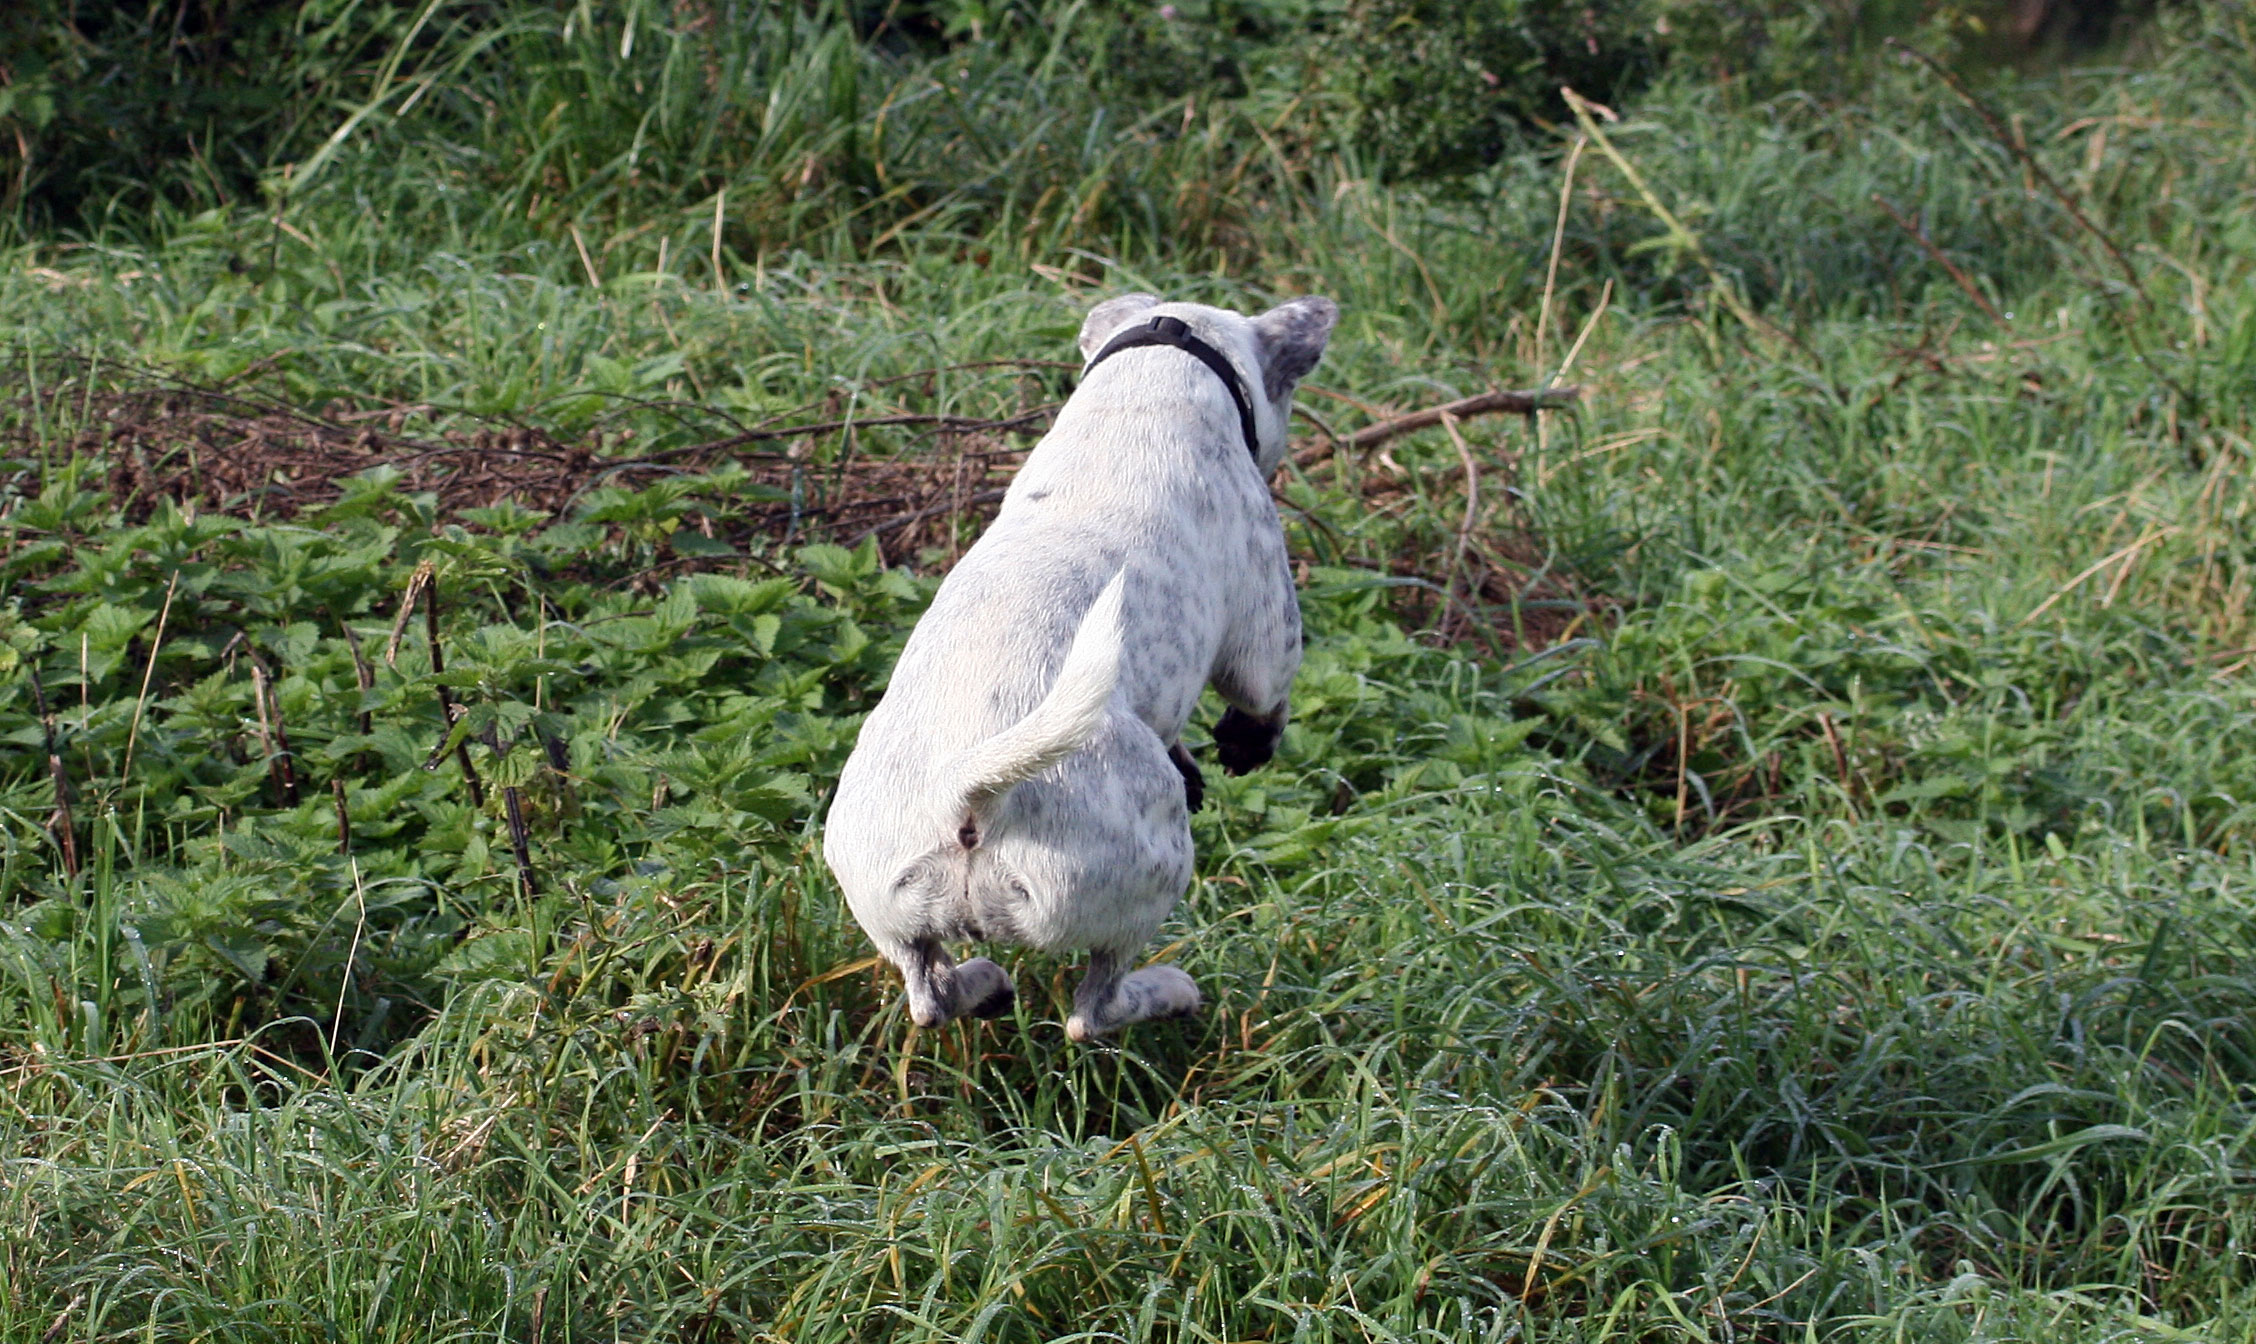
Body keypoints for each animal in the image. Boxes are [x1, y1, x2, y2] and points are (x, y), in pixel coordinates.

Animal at [821, 293, 1326, 1046]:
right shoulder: (1266, 636)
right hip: (1150, 873)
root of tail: (969, 797)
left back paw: (985, 987)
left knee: (930, 994)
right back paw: (1167, 992)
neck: (1152, 376)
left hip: (888, 907)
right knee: (1093, 1010)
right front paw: (1246, 745)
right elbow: (1265, 698)